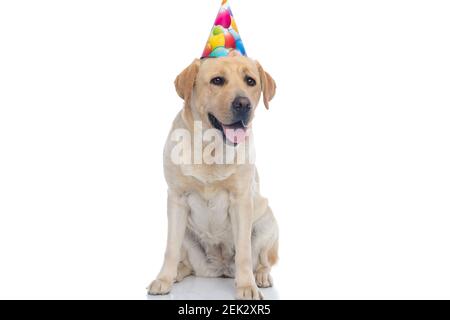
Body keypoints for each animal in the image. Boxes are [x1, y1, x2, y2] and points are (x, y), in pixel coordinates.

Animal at [148, 52, 278, 300]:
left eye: (250, 81)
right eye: (217, 80)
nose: (243, 104)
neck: (211, 149)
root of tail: (220, 269)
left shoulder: (241, 200)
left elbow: (244, 253)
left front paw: (246, 286)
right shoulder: (176, 200)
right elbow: (170, 249)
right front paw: (164, 279)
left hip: (267, 222)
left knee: (262, 260)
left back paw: (260, 276)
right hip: (187, 236)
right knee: (185, 261)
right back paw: (177, 273)